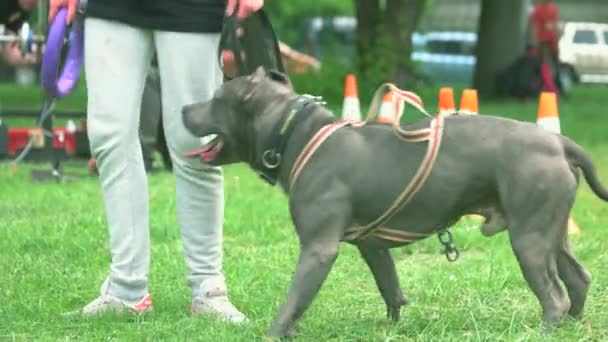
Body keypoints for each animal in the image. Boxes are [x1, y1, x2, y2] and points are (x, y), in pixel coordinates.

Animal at [180, 67, 608, 340]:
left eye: (216, 99)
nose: (183, 108)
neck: (296, 135)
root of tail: (558, 142)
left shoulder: (318, 250)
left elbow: (294, 299)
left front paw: (275, 334)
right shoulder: (372, 246)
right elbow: (389, 286)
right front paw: (391, 325)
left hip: (529, 239)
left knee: (554, 295)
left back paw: (546, 331)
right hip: (551, 233)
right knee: (577, 278)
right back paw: (572, 326)